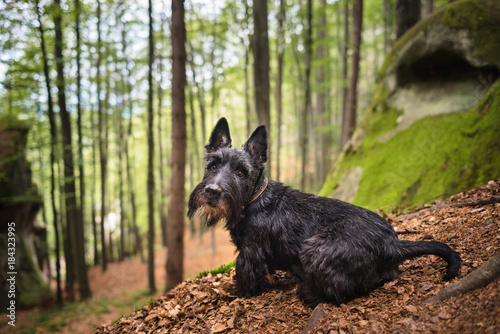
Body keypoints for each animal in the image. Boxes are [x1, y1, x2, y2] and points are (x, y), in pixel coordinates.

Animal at [188, 117, 460, 306]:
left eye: (241, 172)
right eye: (212, 166)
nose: (212, 191)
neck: (254, 199)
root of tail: (392, 243)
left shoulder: (250, 252)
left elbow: (246, 275)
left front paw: (238, 292)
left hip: (316, 249)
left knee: (340, 292)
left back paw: (308, 291)